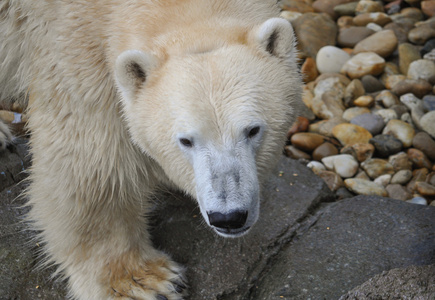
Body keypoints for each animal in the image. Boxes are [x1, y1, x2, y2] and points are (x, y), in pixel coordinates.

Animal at [0, 1, 302, 298]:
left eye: (252, 130)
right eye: (186, 140)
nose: (229, 217)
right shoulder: (72, 50)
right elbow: (90, 161)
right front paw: (142, 281)